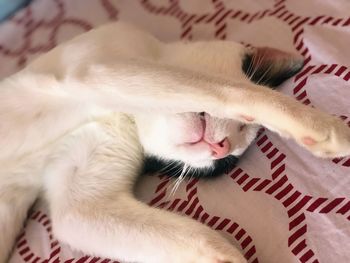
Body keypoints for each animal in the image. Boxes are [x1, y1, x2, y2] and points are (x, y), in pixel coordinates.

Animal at [0, 22, 350, 263]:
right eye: (241, 129)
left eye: (222, 166)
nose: (222, 148)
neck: (127, 116)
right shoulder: (100, 68)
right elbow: (224, 89)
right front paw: (325, 129)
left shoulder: (81, 202)